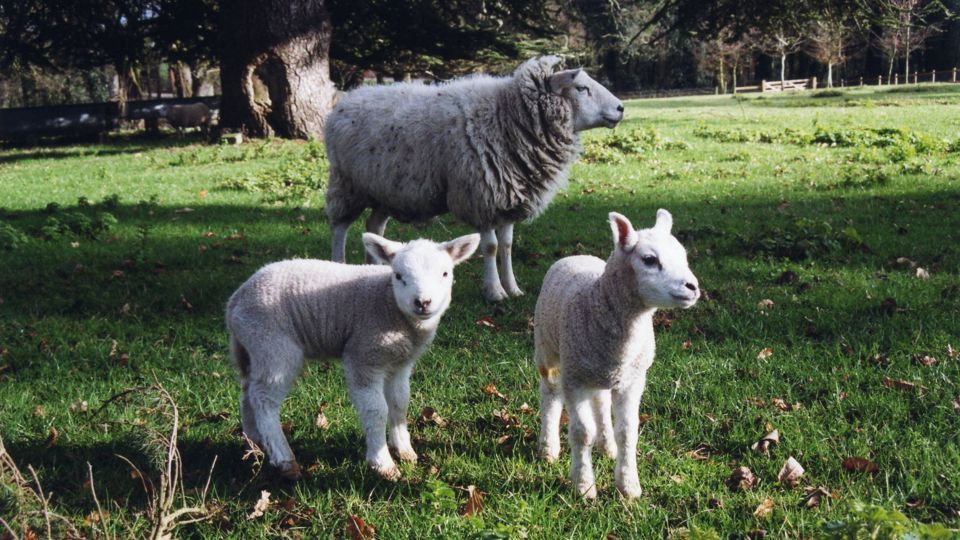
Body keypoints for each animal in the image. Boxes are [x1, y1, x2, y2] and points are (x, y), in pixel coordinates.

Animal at [226, 232, 480, 480]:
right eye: (398, 276)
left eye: (445, 273)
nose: (423, 302)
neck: (388, 302)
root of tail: (235, 301)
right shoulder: (363, 355)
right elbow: (376, 410)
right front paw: (383, 463)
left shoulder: (400, 363)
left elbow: (399, 403)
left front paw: (404, 450)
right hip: (273, 345)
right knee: (264, 398)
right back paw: (283, 459)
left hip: (252, 347)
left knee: (248, 392)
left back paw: (254, 444)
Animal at [324, 55, 624, 302]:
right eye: (581, 88)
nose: (621, 108)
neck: (507, 117)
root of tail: (347, 100)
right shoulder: (481, 196)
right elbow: (490, 247)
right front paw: (495, 292)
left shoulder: (508, 196)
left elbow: (507, 245)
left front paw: (513, 288)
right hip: (347, 183)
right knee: (340, 227)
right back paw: (339, 264)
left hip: (384, 190)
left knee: (373, 226)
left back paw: (374, 268)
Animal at [534, 209, 700, 500]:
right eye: (649, 259)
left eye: (683, 256)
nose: (693, 287)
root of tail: (575, 255)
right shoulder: (574, 378)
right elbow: (581, 432)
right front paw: (583, 486)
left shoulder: (633, 380)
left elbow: (628, 431)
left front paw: (628, 485)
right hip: (548, 350)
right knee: (550, 396)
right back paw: (548, 449)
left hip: (598, 370)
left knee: (600, 402)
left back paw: (607, 446)